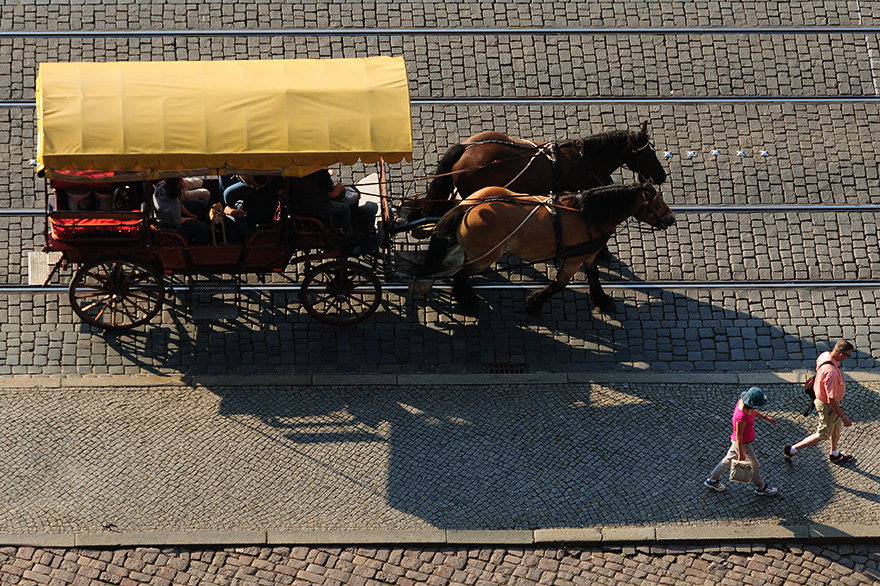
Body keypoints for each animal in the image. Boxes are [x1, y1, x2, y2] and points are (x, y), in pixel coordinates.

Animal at [416, 185, 676, 318]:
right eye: (656, 203)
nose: (671, 219)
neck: (587, 214)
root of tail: (468, 206)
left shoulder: (587, 255)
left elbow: (593, 277)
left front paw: (602, 300)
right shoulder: (573, 260)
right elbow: (559, 284)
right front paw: (534, 303)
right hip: (486, 257)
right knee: (461, 276)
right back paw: (467, 302)